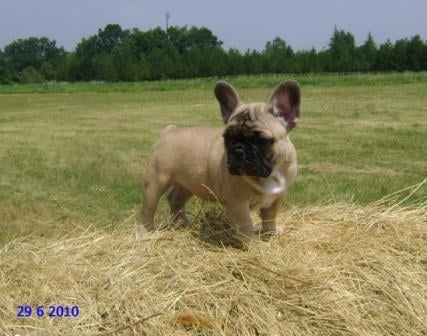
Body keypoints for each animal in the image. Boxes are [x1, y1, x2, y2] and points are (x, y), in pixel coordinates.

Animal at [140, 79, 300, 242]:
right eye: (227, 138)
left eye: (262, 141)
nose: (238, 150)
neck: (271, 174)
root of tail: (170, 131)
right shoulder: (238, 203)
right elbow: (246, 226)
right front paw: (255, 243)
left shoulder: (277, 198)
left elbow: (269, 218)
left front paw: (270, 233)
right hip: (156, 183)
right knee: (148, 209)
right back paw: (145, 233)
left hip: (189, 184)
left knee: (175, 198)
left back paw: (182, 223)